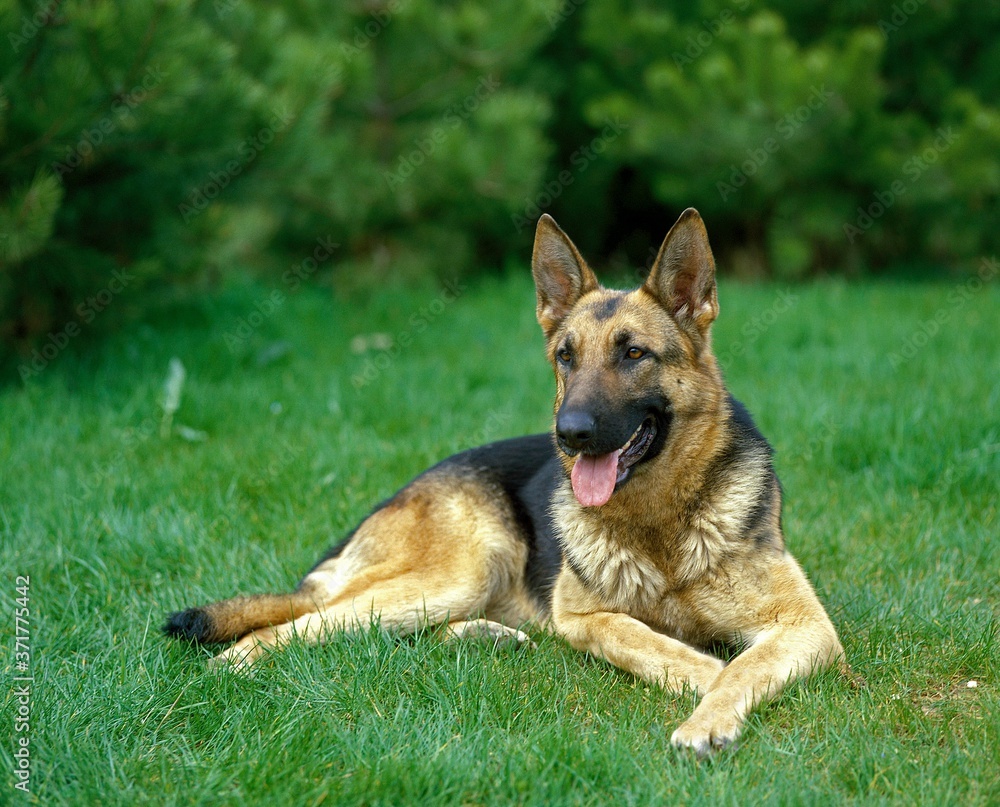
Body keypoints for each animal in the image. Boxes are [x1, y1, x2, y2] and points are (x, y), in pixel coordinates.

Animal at [166, 210, 844, 756]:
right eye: (566, 357)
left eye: (633, 354)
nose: (569, 433)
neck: (660, 523)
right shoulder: (583, 617)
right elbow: (653, 642)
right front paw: (705, 685)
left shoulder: (807, 624)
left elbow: (746, 663)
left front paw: (713, 710)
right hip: (460, 570)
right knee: (297, 626)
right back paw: (229, 669)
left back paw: (486, 636)